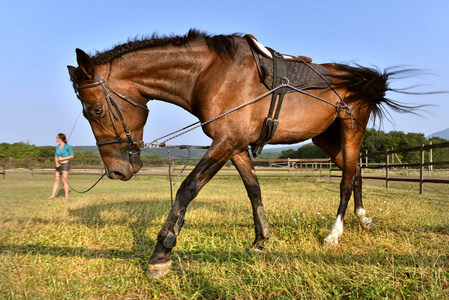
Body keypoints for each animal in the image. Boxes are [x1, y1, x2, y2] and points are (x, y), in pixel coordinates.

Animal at [68, 29, 418, 280]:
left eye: (96, 110)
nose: (117, 171)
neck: (211, 74)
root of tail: (360, 78)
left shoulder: (226, 141)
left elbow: (187, 189)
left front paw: (161, 253)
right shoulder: (234, 145)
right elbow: (254, 189)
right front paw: (261, 241)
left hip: (350, 127)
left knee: (346, 179)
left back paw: (334, 233)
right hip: (326, 139)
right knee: (354, 170)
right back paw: (364, 218)